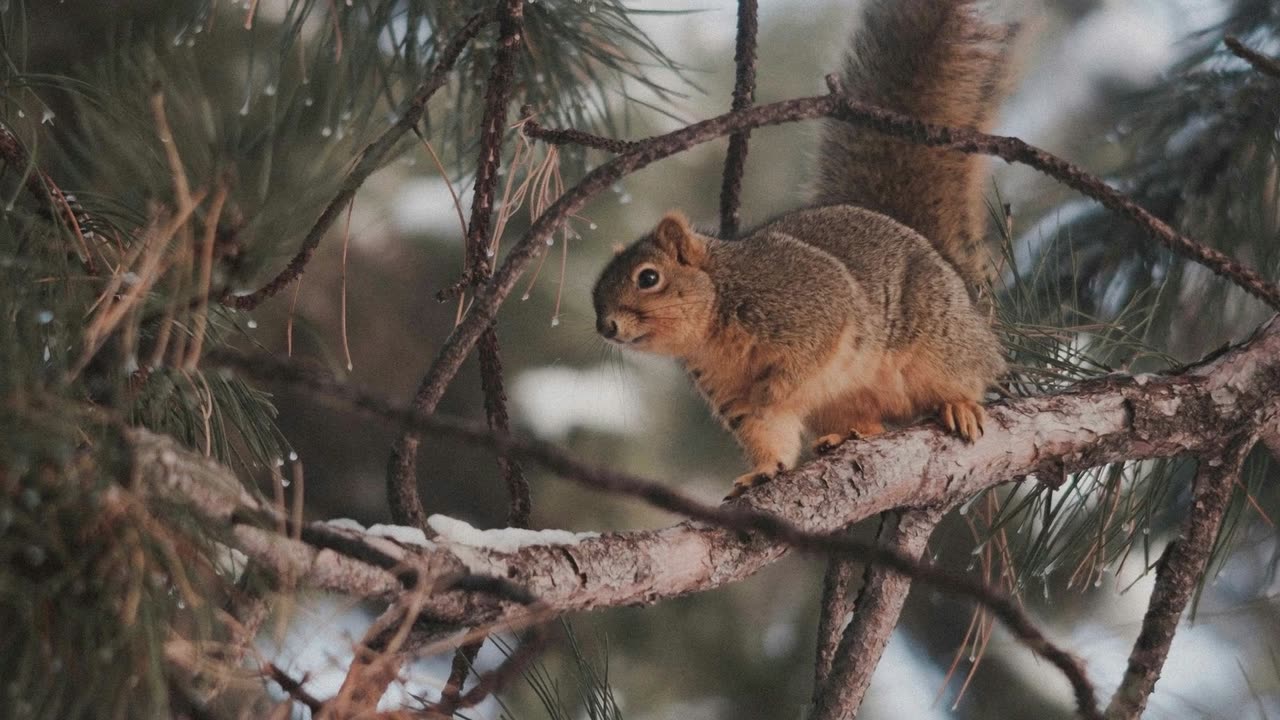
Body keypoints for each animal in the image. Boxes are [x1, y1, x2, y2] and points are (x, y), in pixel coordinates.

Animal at [593, 0, 1013, 491]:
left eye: (648, 277)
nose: (607, 327)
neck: (713, 324)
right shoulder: (726, 388)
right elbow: (765, 428)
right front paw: (762, 470)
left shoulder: (811, 305)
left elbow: (803, 362)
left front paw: (773, 390)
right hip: (848, 401)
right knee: (869, 422)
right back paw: (846, 435)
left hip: (939, 339)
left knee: (967, 373)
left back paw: (958, 404)